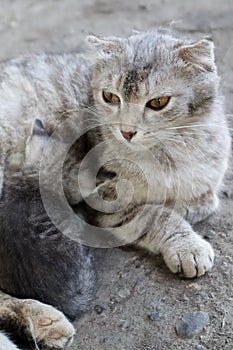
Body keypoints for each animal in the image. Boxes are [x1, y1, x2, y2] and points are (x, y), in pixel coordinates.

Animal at [0, 28, 230, 348]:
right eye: (110, 97)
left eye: (158, 102)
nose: (126, 131)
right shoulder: (107, 206)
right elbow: (157, 215)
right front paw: (187, 245)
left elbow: (200, 200)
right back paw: (43, 320)